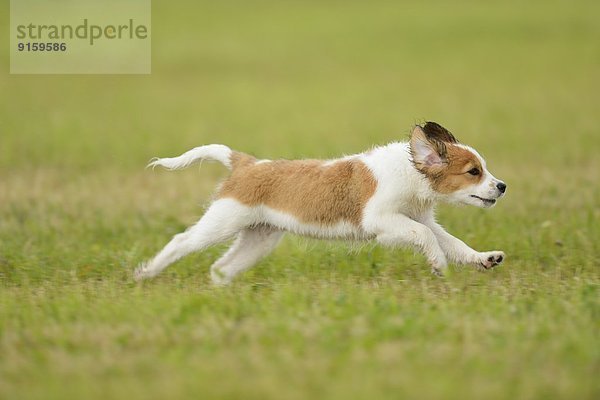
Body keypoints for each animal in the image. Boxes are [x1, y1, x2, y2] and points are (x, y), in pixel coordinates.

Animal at [135, 122, 506, 284]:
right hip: (221, 222)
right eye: (473, 172)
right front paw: (438, 264)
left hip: (260, 238)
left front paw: (484, 258)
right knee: (181, 241)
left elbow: (453, 242)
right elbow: (429, 239)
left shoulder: (420, 219)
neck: (410, 172)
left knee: (222, 266)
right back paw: (146, 273)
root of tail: (247, 164)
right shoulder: (382, 220)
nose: (502, 187)